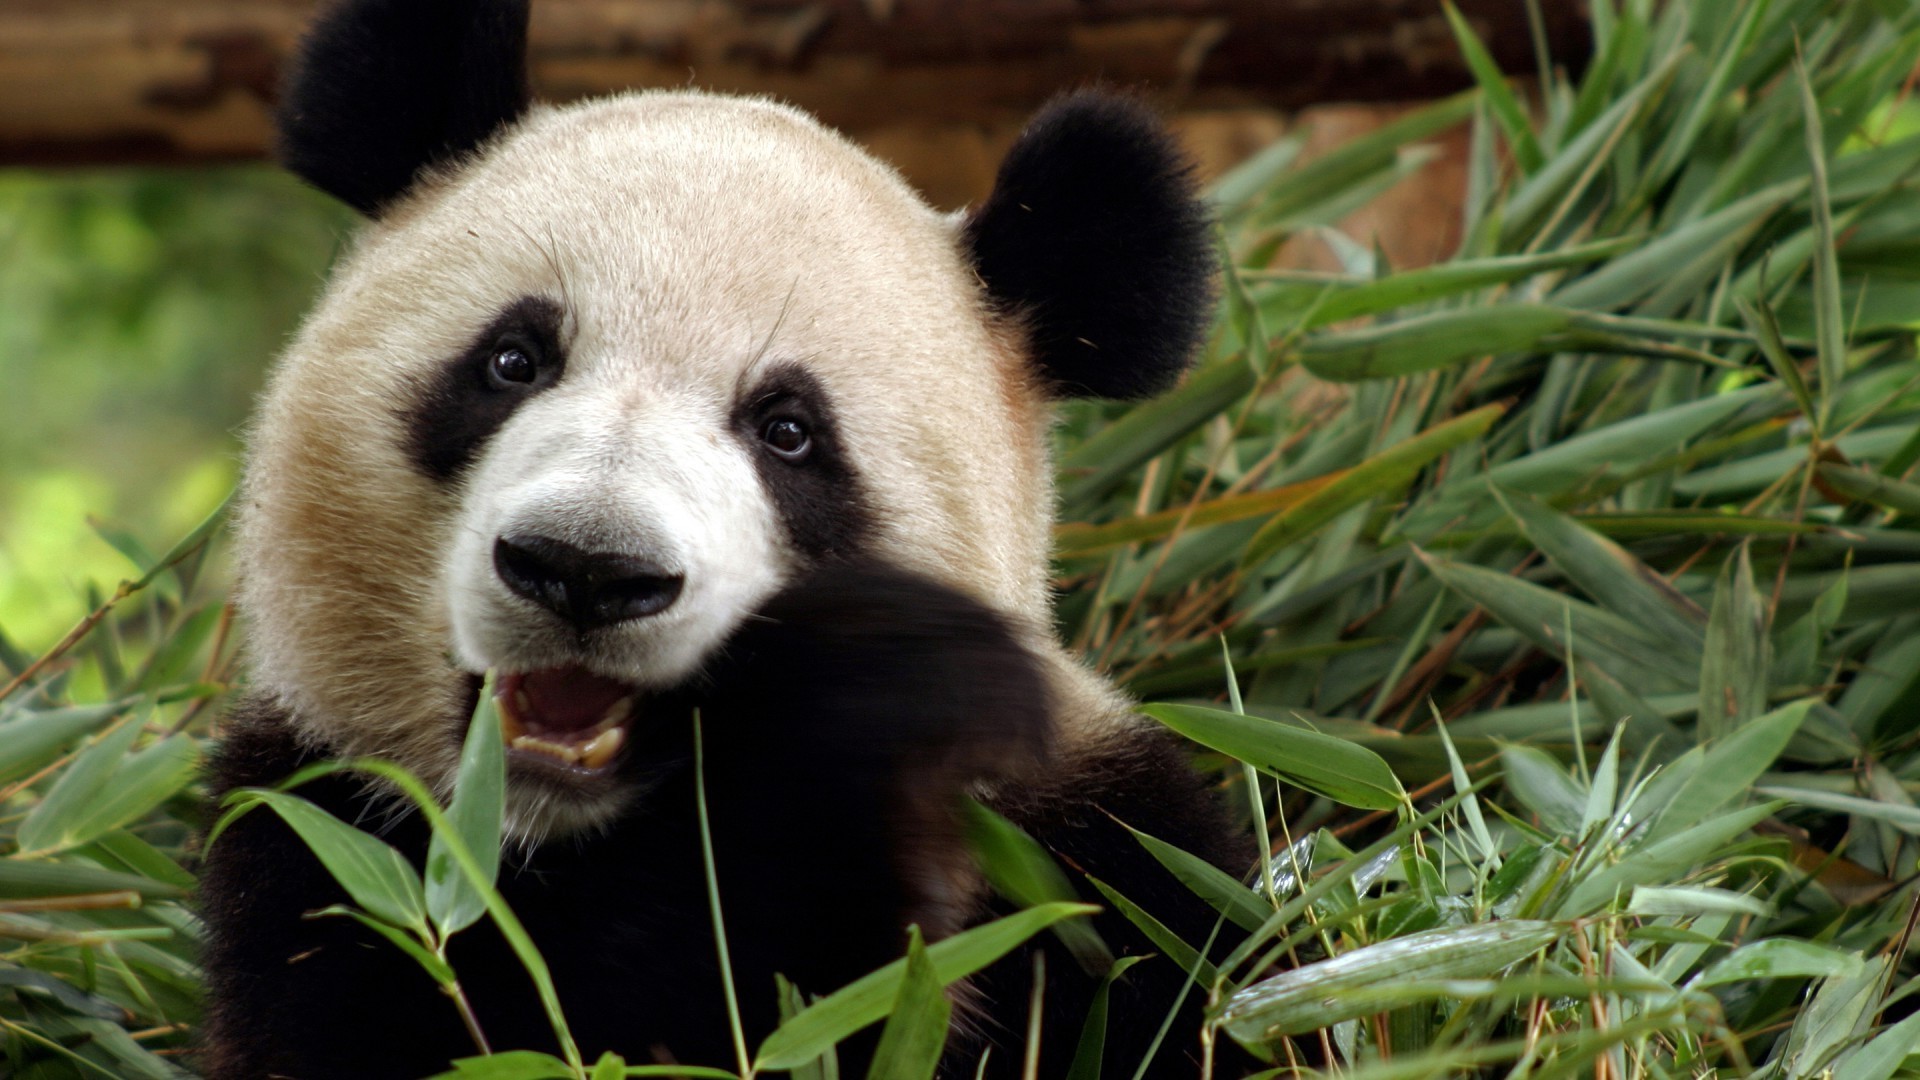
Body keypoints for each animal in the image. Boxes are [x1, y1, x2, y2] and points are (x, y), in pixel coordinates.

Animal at [194, 0, 1244, 1068]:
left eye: (789, 431)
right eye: (512, 361)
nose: (585, 569)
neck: (568, 840)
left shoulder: (1102, 854)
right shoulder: (327, 845)